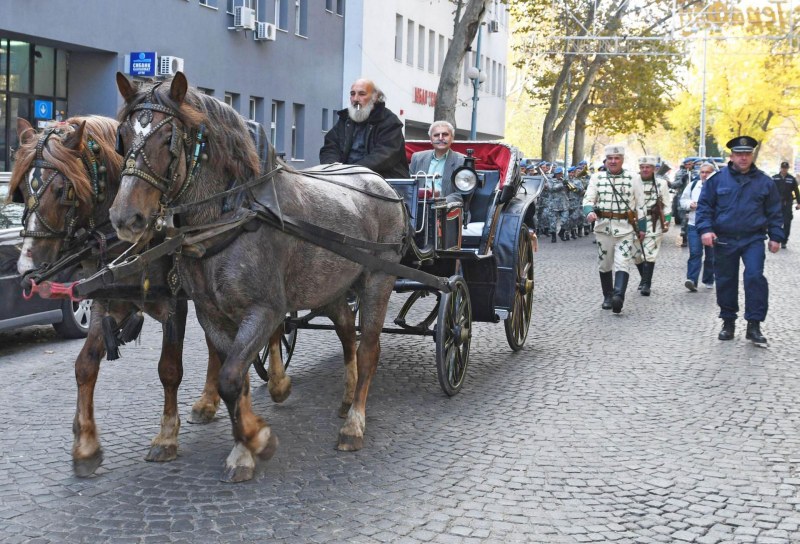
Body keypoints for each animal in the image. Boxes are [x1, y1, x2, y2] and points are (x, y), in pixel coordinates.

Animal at [10, 116, 228, 476]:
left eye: (61, 190)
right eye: (23, 191)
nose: (27, 269)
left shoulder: (174, 303)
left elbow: (170, 369)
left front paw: (166, 437)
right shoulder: (106, 300)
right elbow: (85, 365)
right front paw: (86, 445)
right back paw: (209, 400)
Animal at [108, 71, 406, 480]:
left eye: (168, 137)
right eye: (122, 135)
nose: (125, 217)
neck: (234, 213)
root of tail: (382, 184)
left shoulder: (265, 310)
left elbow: (232, 377)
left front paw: (257, 440)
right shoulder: (212, 313)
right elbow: (236, 377)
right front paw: (243, 446)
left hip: (378, 279)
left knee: (369, 348)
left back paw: (354, 423)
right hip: (331, 285)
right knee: (348, 332)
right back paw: (347, 398)